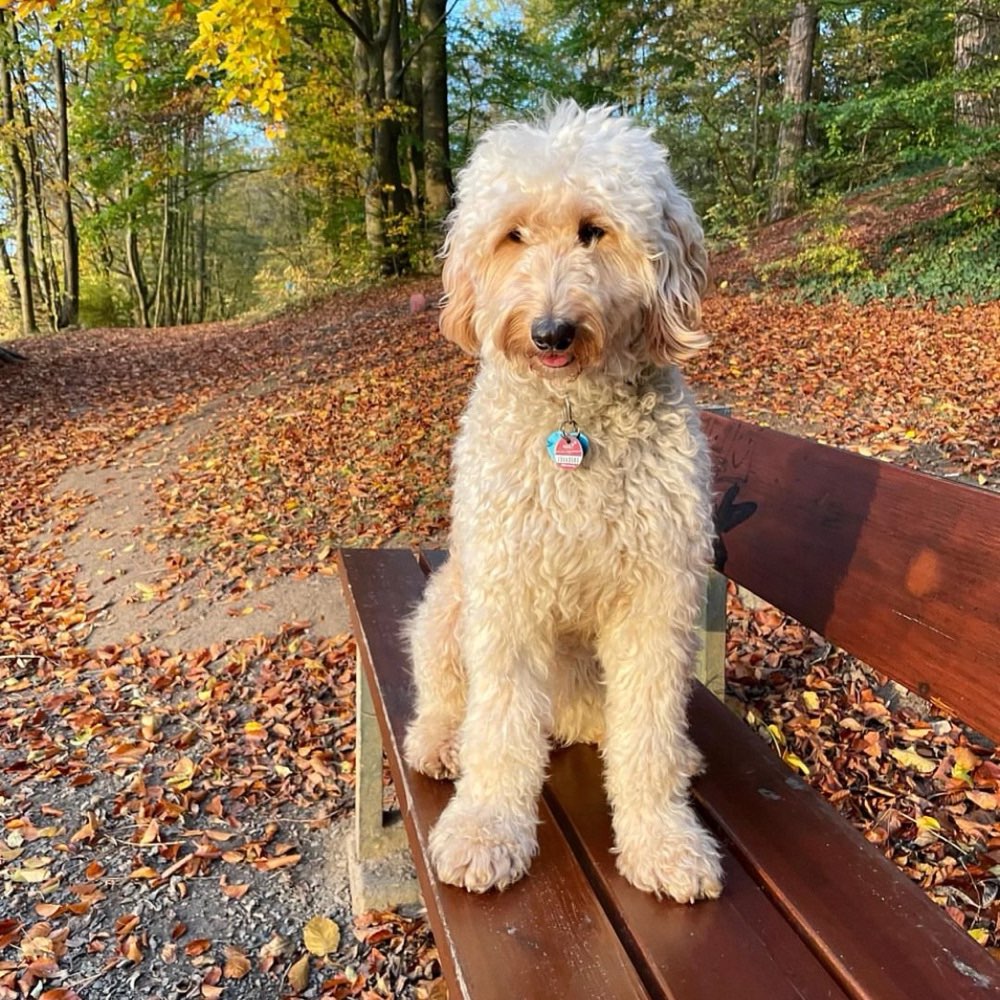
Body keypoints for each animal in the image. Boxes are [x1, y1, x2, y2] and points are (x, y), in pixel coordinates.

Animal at [402, 101, 724, 908]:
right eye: (512, 234)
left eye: (594, 230)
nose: (550, 330)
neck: (571, 418)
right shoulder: (505, 590)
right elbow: (497, 726)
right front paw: (486, 829)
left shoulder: (658, 594)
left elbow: (648, 733)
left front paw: (663, 839)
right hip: (449, 601)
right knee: (448, 696)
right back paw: (440, 741)